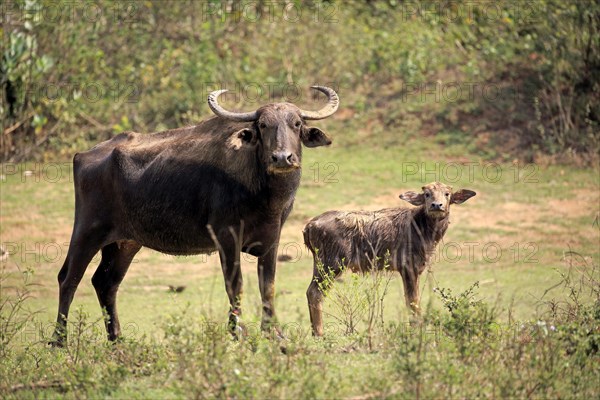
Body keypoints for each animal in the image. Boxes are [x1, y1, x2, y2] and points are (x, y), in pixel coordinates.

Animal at [51, 86, 340, 346]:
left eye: (296, 124)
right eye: (263, 125)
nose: (282, 157)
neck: (263, 192)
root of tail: (84, 155)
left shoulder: (272, 238)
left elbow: (267, 286)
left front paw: (274, 332)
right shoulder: (226, 237)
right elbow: (235, 285)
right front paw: (237, 331)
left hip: (125, 243)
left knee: (105, 282)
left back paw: (117, 339)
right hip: (87, 231)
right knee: (69, 278)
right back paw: (59, 341)